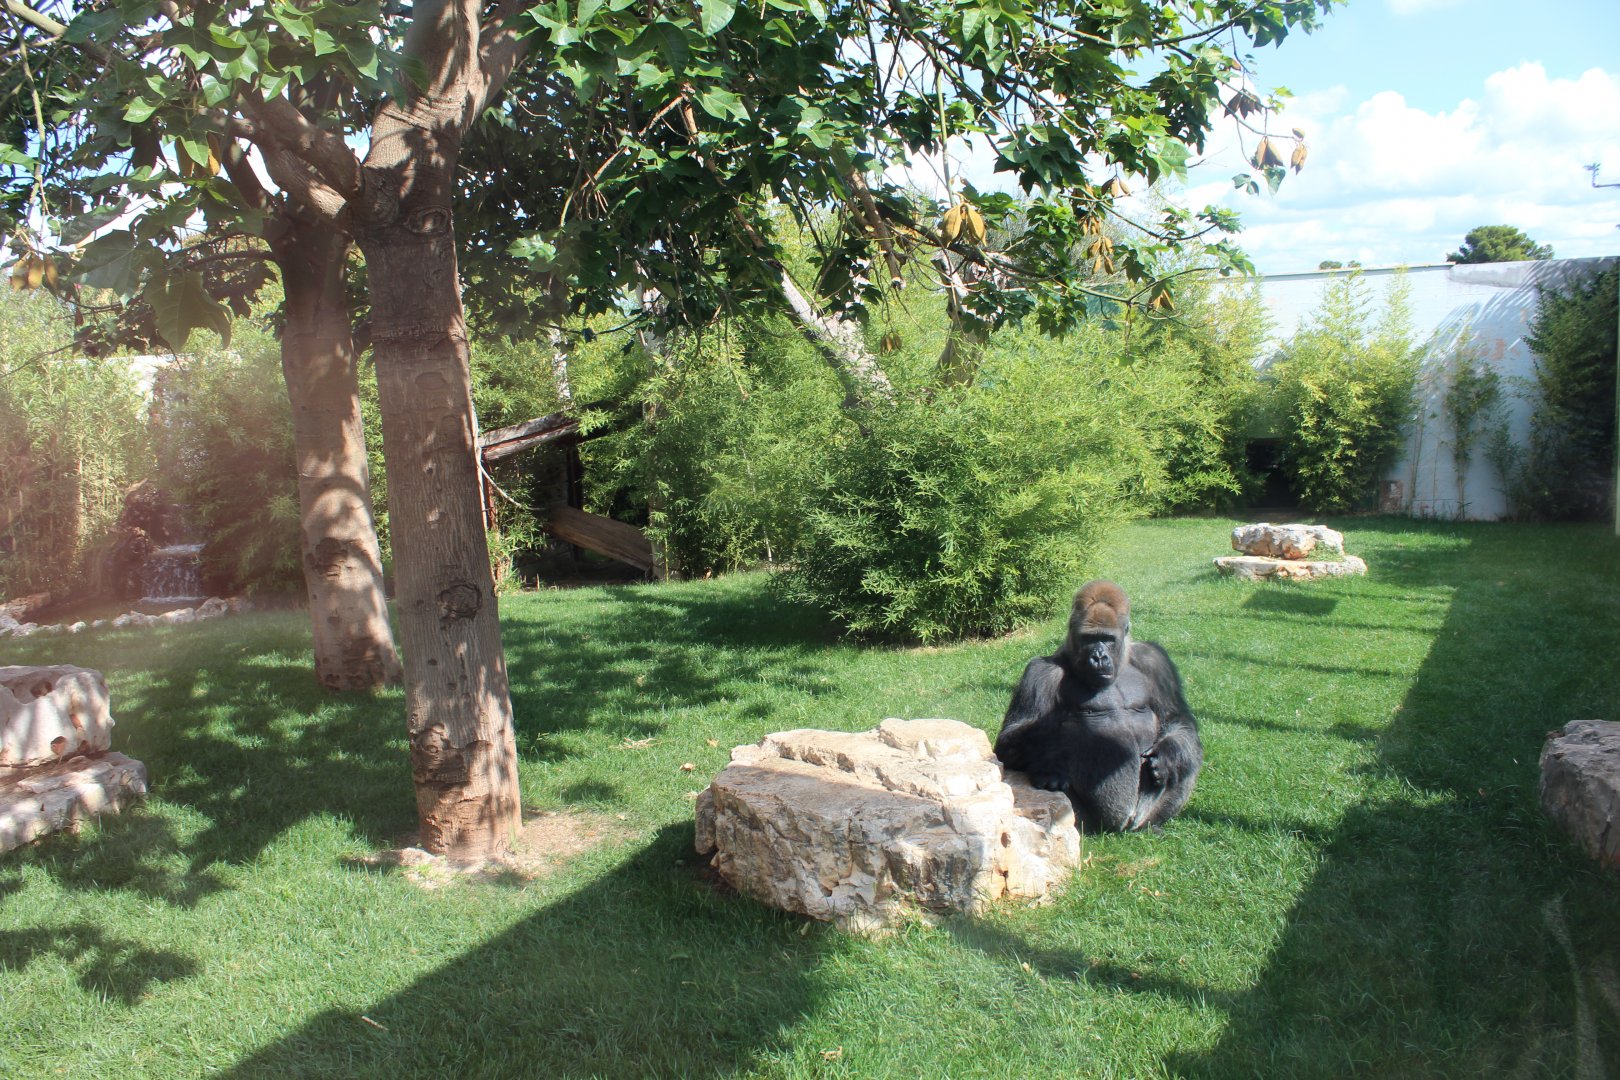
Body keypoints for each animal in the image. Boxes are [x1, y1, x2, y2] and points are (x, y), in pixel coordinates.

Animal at [994, 580, 1202, 832]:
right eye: (1088, 639)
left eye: (1108, 639)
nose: (1099, 657)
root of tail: (1120, 827)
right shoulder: (1040, 673)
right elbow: (1008, 743)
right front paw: (1054, 743)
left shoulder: (1155, 660)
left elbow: (1177, 719)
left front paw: (1167, 756)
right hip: (1086, 823)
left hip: (1140, 817)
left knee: (1189, 755)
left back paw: (1154, 823)